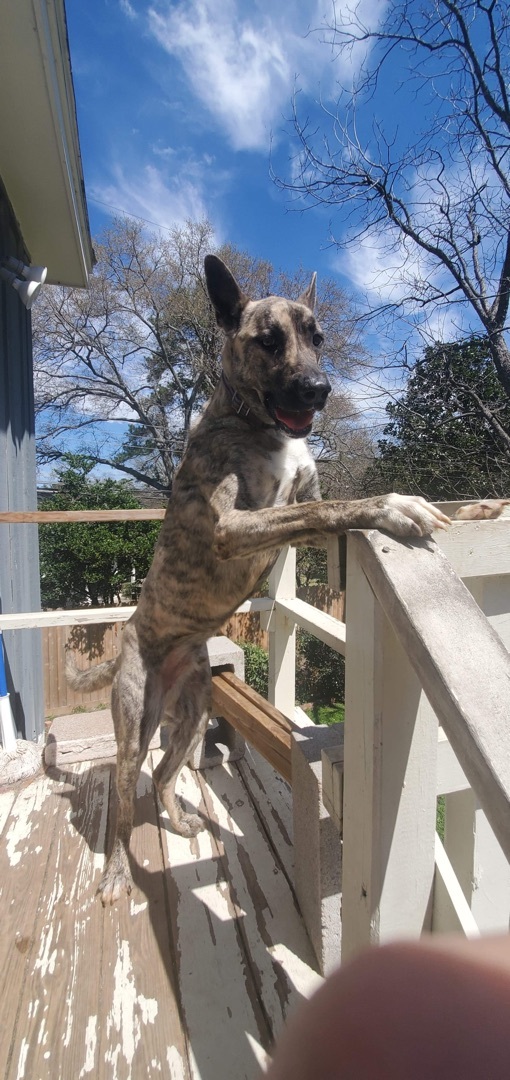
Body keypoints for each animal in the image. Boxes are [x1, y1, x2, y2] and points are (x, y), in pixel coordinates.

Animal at [66, 254, 449, 902]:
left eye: (318, 337)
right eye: (268, 341)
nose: (319, 390)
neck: (258, 422)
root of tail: (133, 640)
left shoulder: (298, 514)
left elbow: (324, 510)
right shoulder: (236, 524)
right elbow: (334, 506)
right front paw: (398, 505)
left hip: (193, 712)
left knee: (164, 777)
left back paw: (179, 820)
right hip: (134, 726)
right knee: (123, 797)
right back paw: (116, 872)